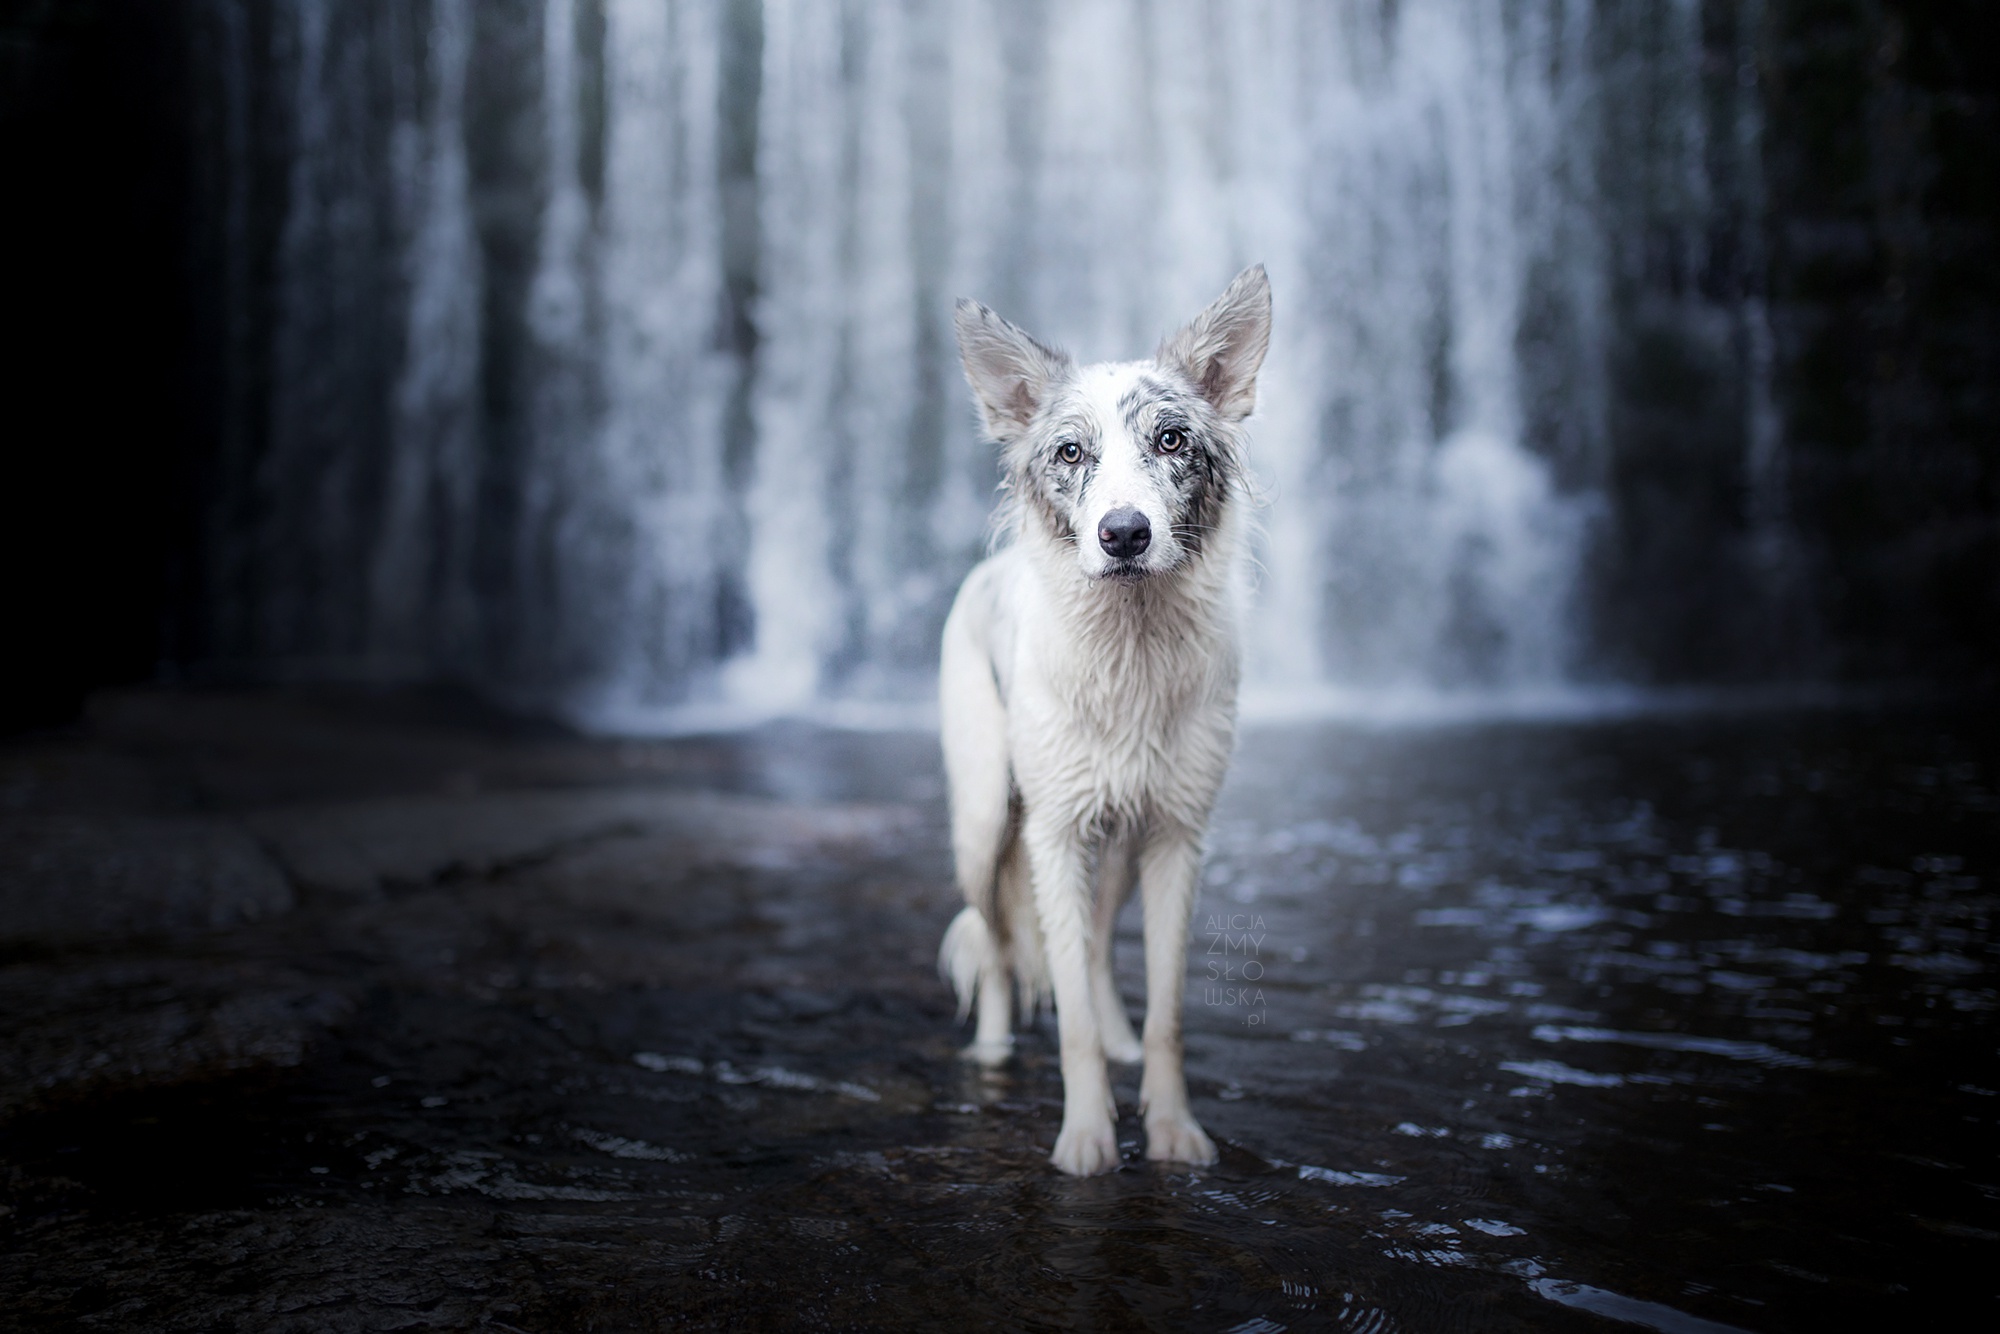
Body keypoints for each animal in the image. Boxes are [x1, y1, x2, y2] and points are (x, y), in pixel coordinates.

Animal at [932, 266, 1264, 1176]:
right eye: (1071, 453)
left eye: (1173, 440)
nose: (1124, 535)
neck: (1131, 649)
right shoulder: (1053, 834)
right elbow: (1068, 1014)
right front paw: (1086, 1141)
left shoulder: (1178, 835)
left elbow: (1165, 1013)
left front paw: (1172, 1130)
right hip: (987, 821)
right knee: (999, 947)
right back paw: (992, 1049)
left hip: (1117, 840)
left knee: (1097, 948)